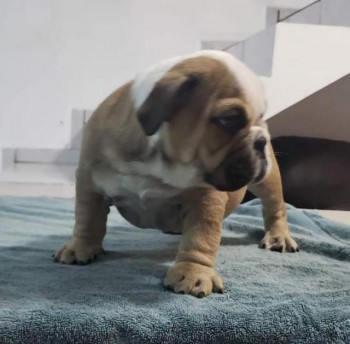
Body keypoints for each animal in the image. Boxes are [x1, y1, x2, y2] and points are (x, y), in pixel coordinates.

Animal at [54, 51, 298, 298]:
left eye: (262, 116)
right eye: (229, 119)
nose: (262, 139)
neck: (159, 161)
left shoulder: (206, 200)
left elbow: (201, 236)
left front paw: (193, 273)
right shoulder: (89, 181)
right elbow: (87, 218)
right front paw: (80, 247)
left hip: (268, 181)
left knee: (274, 207)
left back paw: (278, 236)